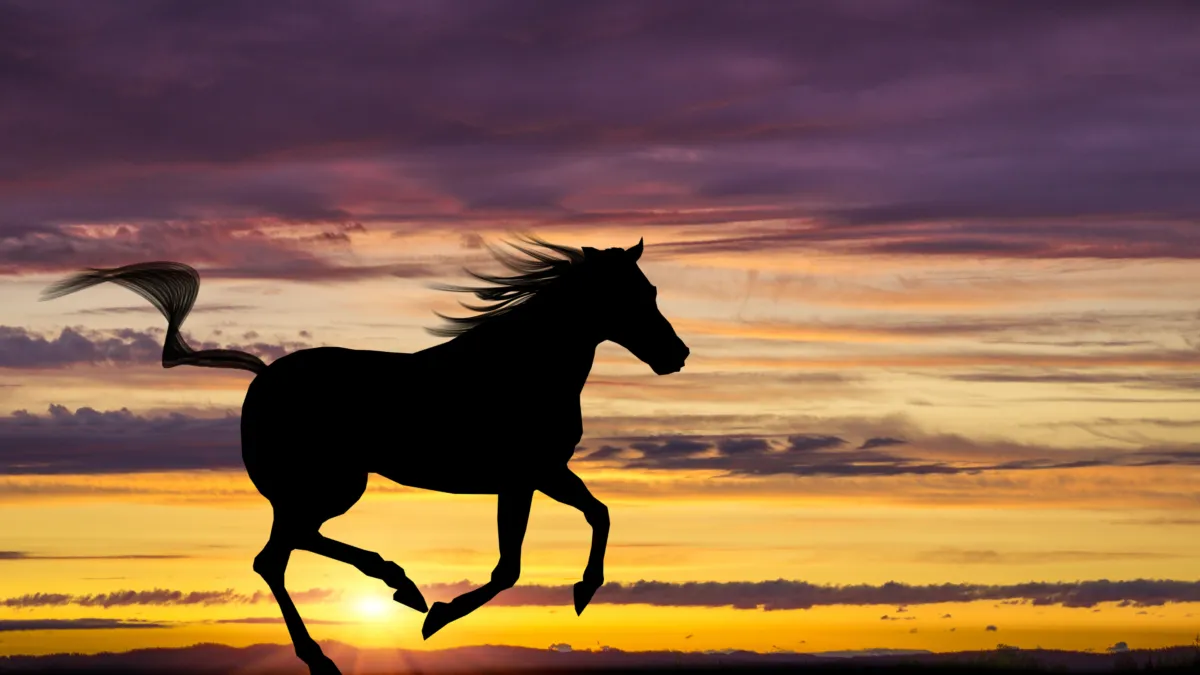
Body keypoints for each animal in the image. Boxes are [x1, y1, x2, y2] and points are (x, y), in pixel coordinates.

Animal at [41, 236, 690, 675]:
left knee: (283, 552)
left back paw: (381, 602)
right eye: (629, 295)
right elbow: (510, 567)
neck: (522, 368)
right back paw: (368, 616)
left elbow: (597, 513)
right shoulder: (522, 476)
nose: (677, 355)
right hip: (332, 485)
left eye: (653, 291)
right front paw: (440, 616)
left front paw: (583, 590)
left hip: (323, 489)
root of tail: (263, 376)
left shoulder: (544, 473)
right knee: (277, 555)